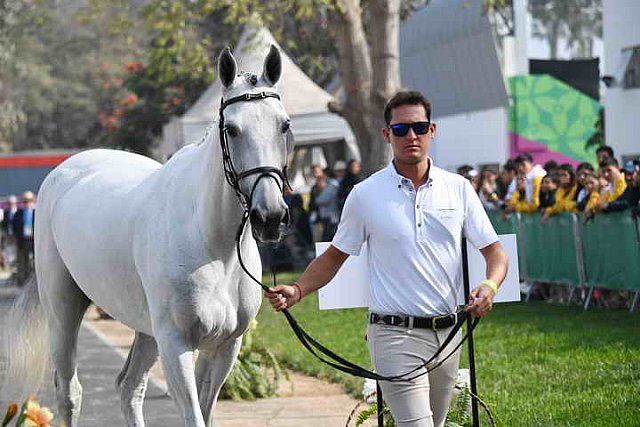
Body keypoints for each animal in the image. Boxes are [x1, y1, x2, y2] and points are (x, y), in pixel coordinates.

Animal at [1, 45, 292, 426]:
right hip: (64, 310)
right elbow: (193, 416)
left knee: (128, 387)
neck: (212, 247)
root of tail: (64, 171)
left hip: (146, 330)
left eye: (284, 125)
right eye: (231, 129)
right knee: (69, 392)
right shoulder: (175, 343)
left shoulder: (225, 346)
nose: (270, 217)